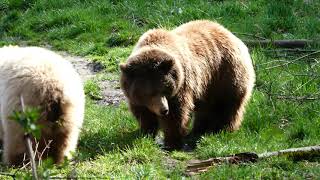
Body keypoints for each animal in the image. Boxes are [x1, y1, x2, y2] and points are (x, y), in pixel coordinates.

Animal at [119, 20, 255, 149]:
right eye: (149, 92)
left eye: (164, 88)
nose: (164, 110)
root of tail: (231, 34)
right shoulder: (136, 96)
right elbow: (144, 114)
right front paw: (147, 133)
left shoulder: (181, 86)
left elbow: (176, 115)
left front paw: (172, 142)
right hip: (207, 86)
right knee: (206, 110)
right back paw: (199, 131)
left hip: (226, 73)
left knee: (227, 105)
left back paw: (223, 129)